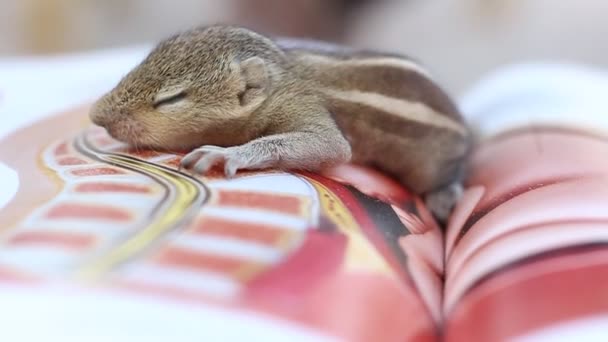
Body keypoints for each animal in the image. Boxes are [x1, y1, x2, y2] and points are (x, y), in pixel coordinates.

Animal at [89, 24, 470, 222]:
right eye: (140, 64)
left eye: (171, 99)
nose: (94, 114)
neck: (281, 76)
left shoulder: (304, 107)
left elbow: (331, 146)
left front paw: (228, 154)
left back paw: (445, 197)